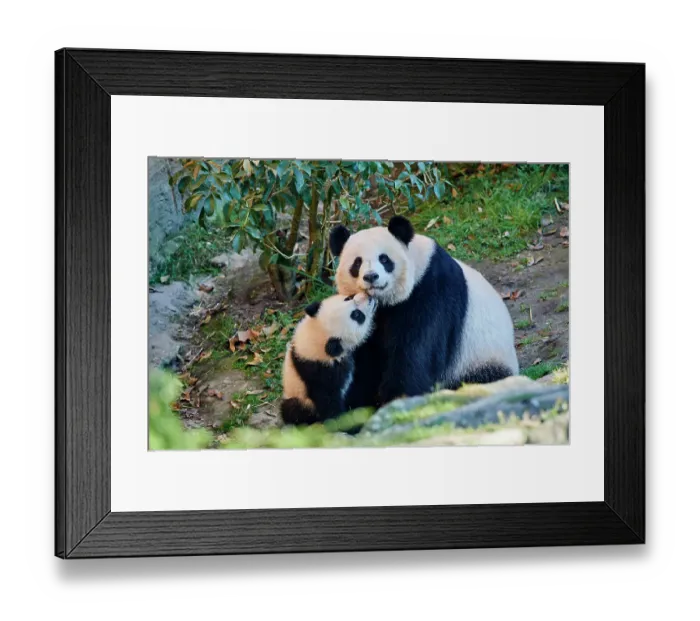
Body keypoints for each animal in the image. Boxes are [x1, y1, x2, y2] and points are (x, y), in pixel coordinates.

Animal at [280, 292, 378, 425]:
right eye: (356, 315)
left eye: (347, 298)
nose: (369, 297)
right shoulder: (320, 376)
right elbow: (329, 403)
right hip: (300, 399)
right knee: (293, 411)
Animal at [329, 215, 519, 409]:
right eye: (357, 262)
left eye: (384, 259)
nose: (371, 276)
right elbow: (365, 361)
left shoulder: (431, 291)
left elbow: (417, 351)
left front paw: (398, 398)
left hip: (479, 359)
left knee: (482, 380)